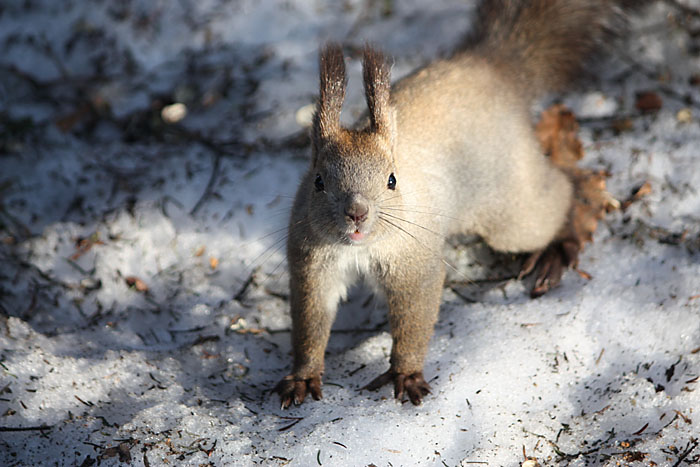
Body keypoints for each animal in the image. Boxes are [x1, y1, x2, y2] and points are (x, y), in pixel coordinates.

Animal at [274, 0, 644, 408]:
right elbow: (311, 322)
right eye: (318, 182)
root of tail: (492, 69)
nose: (357, 213)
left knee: (560, 192)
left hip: (511, 211)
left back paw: (559, 246)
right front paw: (303, 376)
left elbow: (414, 317)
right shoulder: (312, 263)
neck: (361, 248)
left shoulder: (416, 263)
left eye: (392, 180)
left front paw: (406, 373)